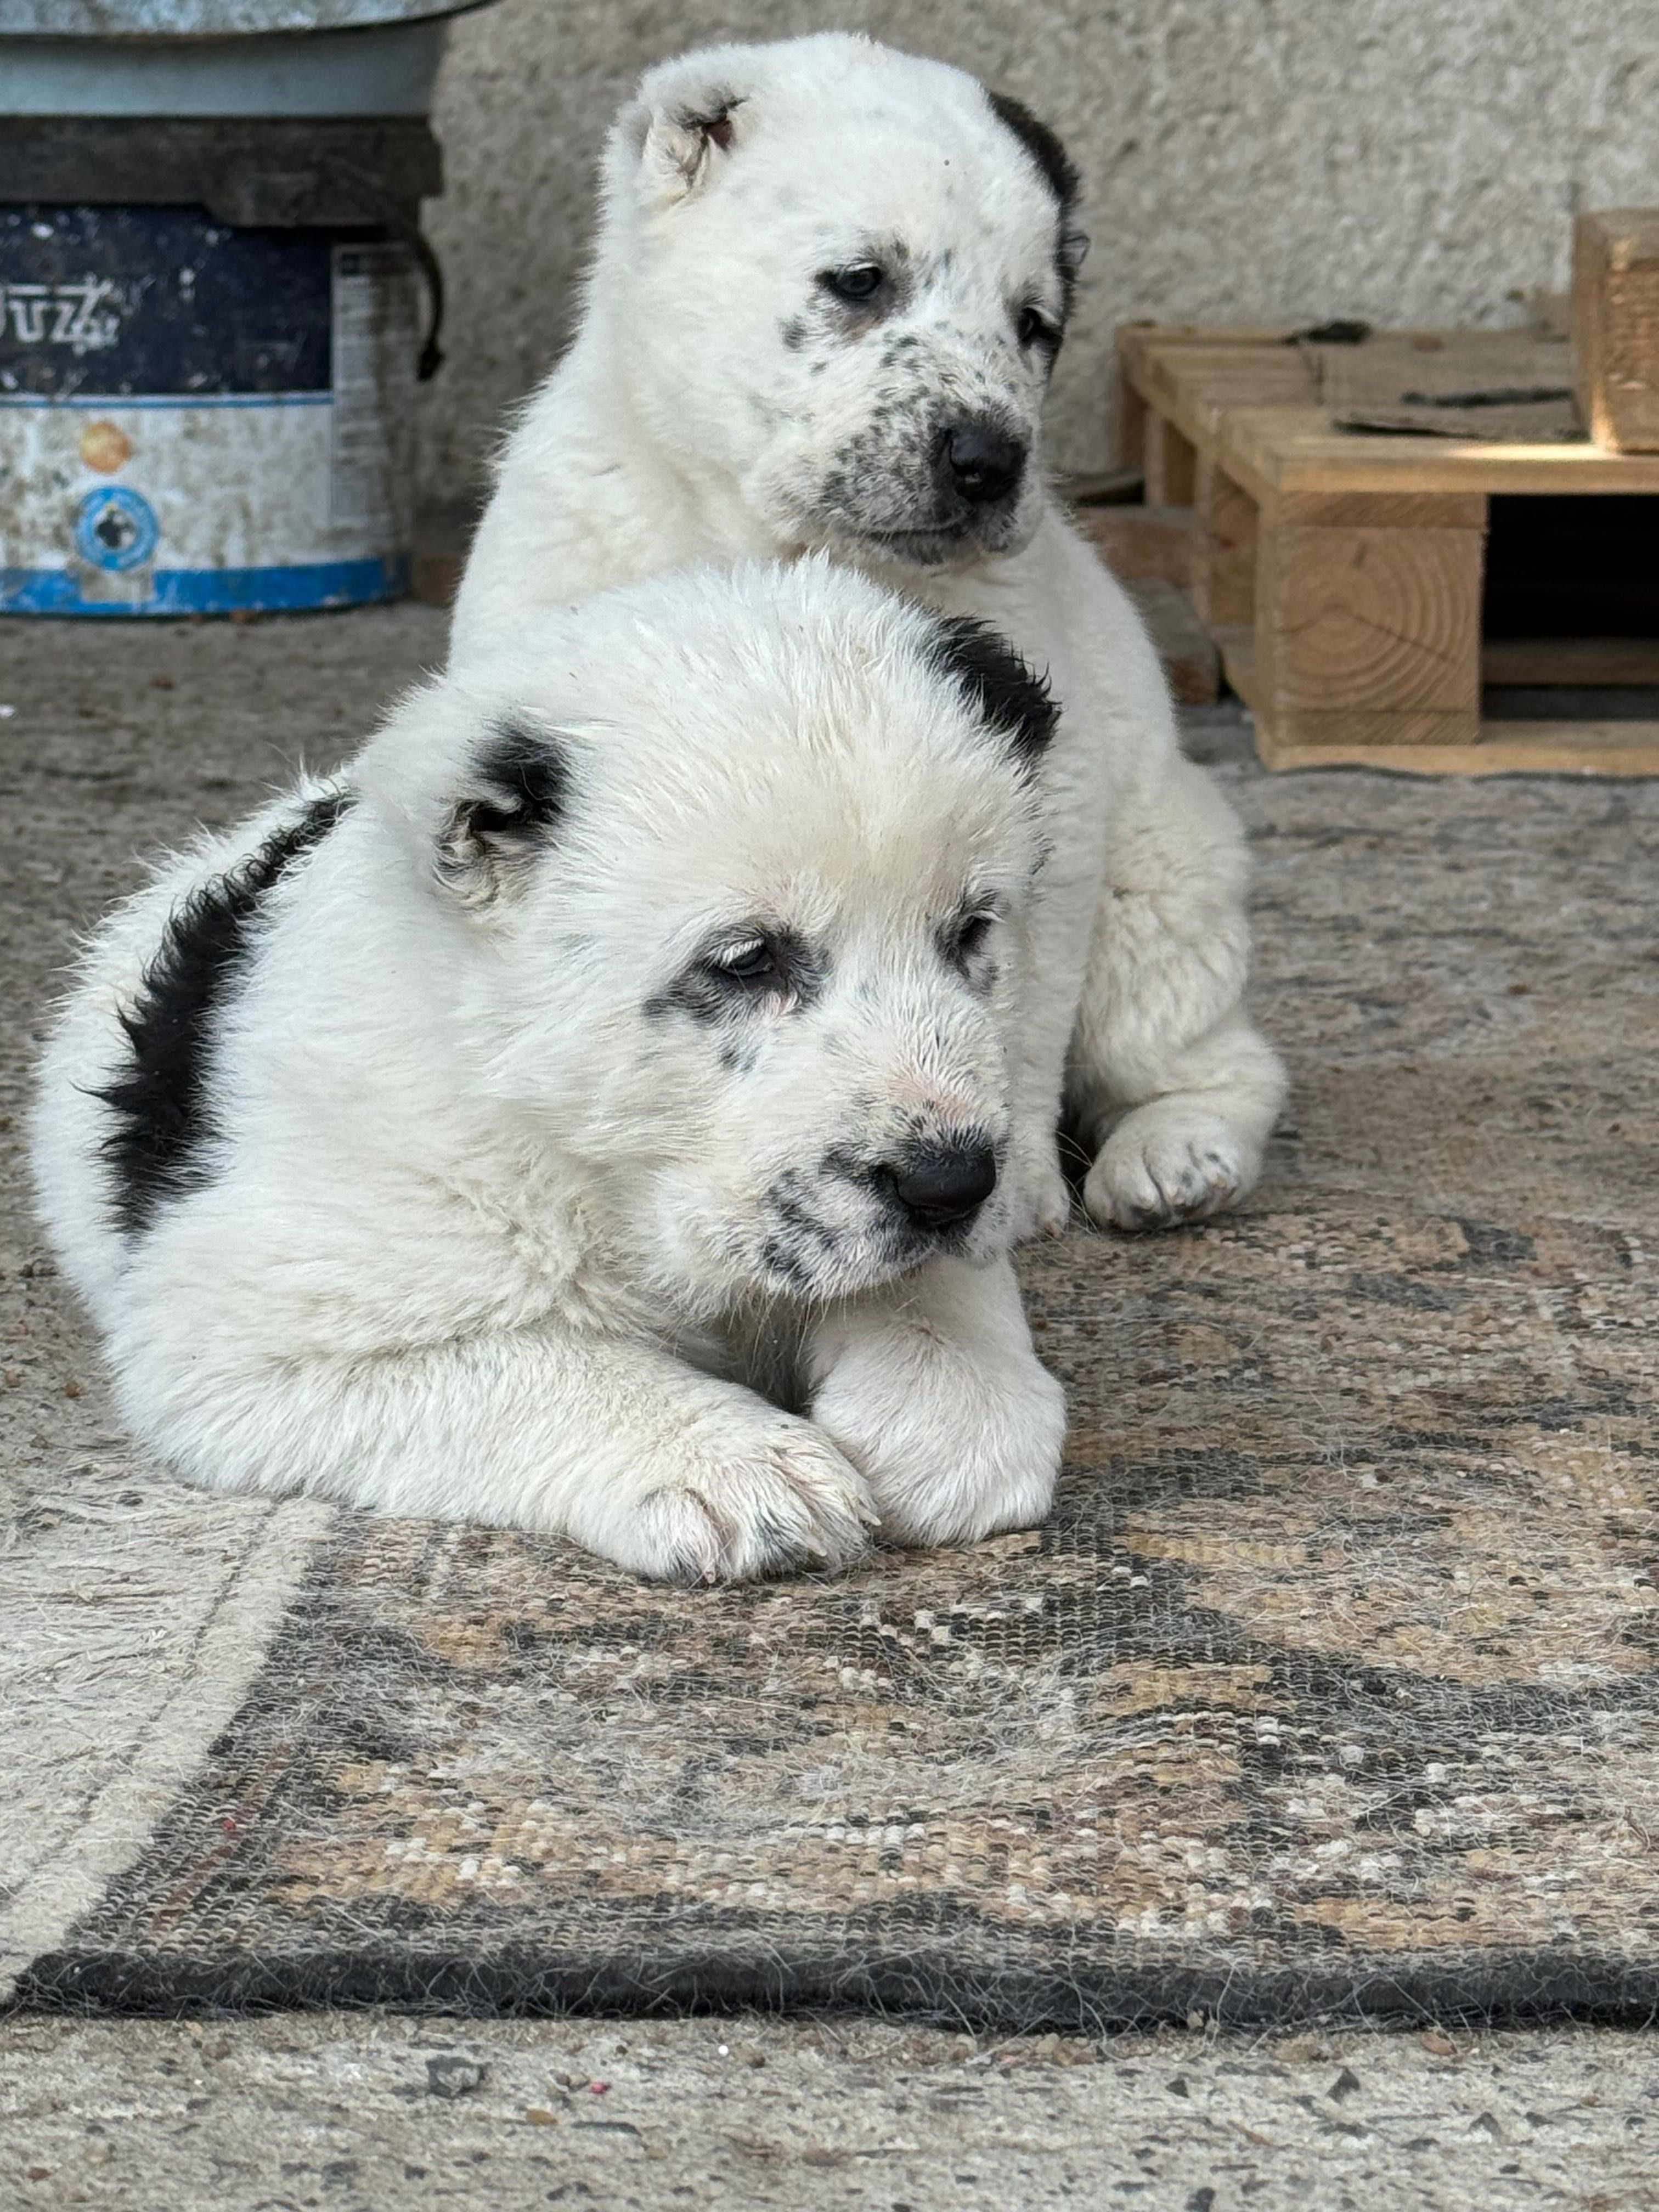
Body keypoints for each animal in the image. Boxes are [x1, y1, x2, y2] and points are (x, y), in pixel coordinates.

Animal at [32, 562, 1070, 1583]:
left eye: (972, 931)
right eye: (747, 962)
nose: (949, 1185)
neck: (598, 1167)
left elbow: (936, 1278)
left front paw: (951, 1398)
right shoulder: (249, 1333)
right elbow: (536, 1362)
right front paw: (729, 1465)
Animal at [451, 26, 1283, 1248]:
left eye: (1033, 325)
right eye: (861, 281)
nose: (990, 460)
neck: (771, 542)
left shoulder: (1047, 801)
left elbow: (1016, 1010)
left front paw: (1009, 1191)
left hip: (1162, 887)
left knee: (1209, 1057)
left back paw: (1172, 1156)